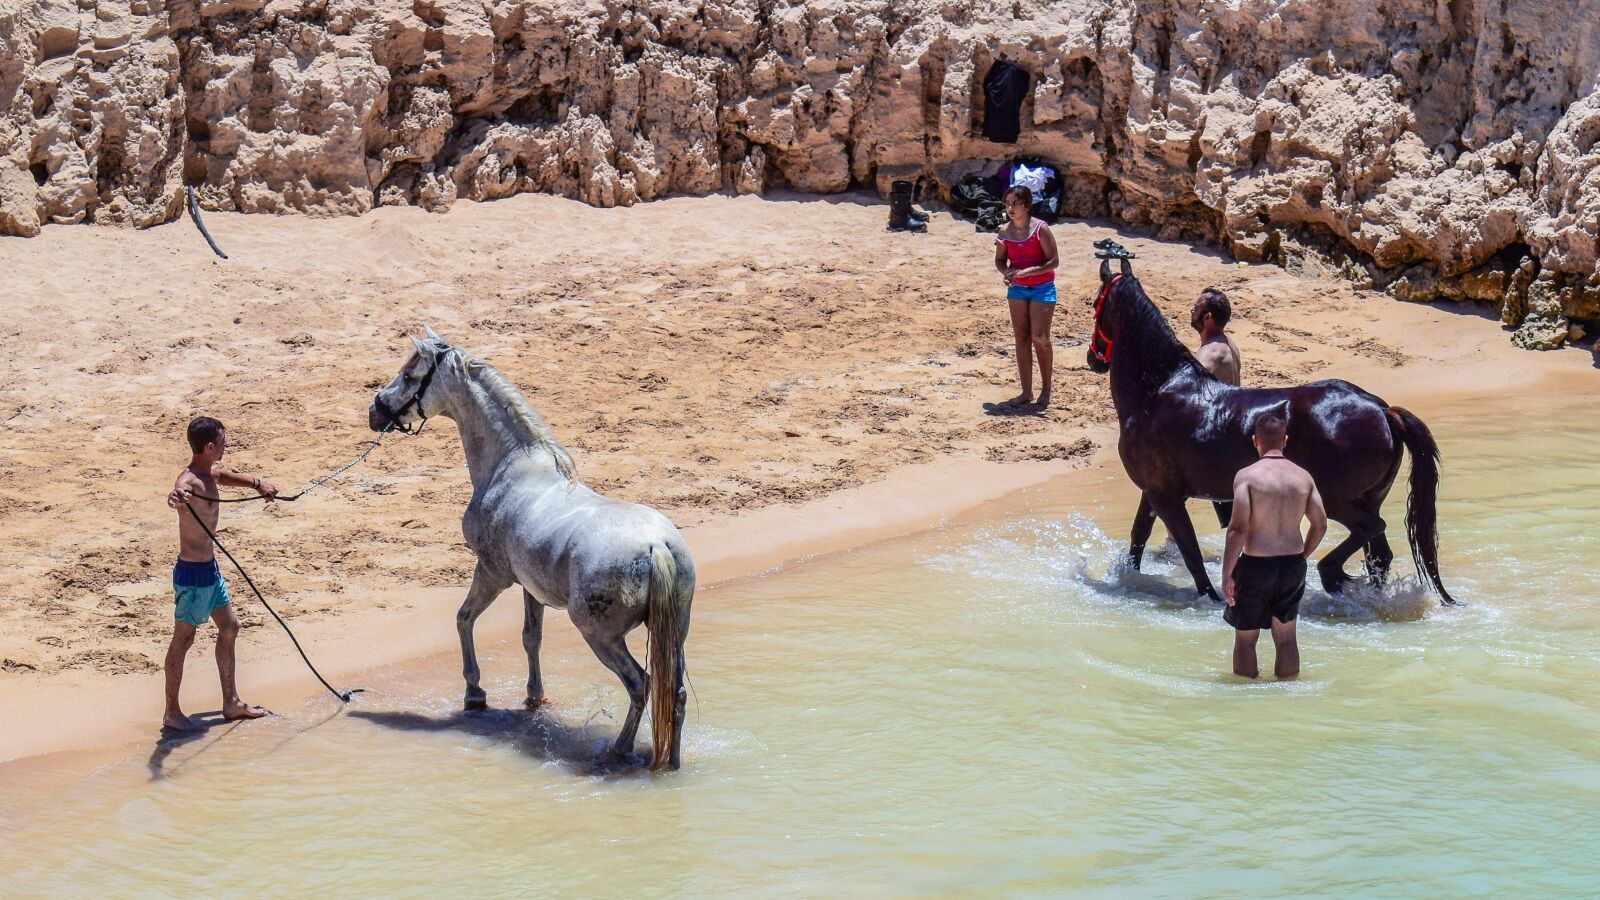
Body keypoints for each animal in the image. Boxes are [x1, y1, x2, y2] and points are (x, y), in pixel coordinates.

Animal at [368, 328, 694, 771]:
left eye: (407, 374)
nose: (375, 411)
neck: (513, 466)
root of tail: (655, 546)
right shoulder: (529, 586)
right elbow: (530, 637)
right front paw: (533, 697)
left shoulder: (492, 573)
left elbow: (463, 619)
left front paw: (475, 694)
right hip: (675, 632)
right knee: (673, 693)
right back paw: (671, 764)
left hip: (602, 638)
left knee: (640, 686)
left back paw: (619, 751)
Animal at [1083, 258, 1456, 606]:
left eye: (1095, 303)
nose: (1092, 359)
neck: (1158, 391)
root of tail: (1382, 410)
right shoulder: (1154, 491)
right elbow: (1139, 537)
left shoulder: (1167, 497)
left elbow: (1190, 554)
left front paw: (1212, 597)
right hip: (1368, 498)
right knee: (1378, 553)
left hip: (1335, 499)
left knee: (1370, 531)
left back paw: (1331, 575)